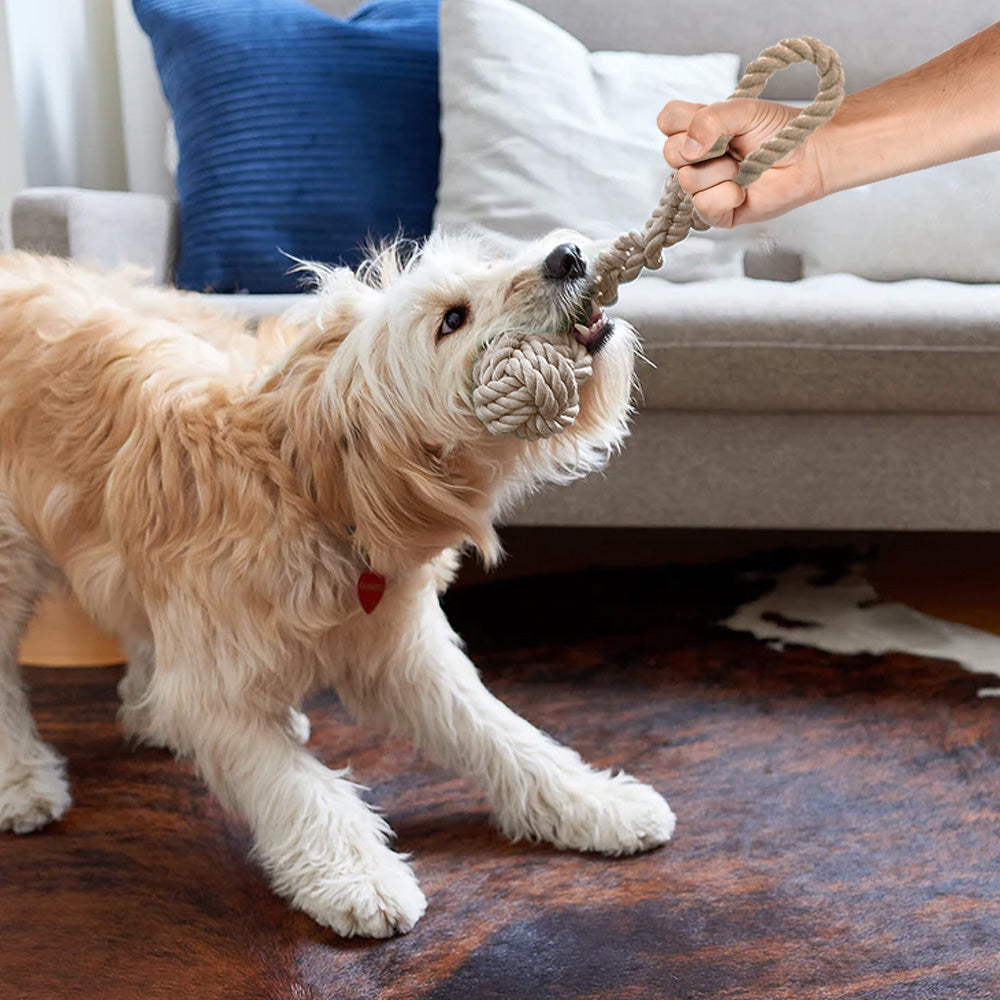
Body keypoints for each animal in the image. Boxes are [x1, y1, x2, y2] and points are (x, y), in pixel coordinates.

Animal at [0, 234, 680, 936]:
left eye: (487, 263)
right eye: (452, 319)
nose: (567, 254)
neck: (311, 484)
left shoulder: (404, 653)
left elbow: (504, 735)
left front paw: (595, 804)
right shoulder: (219, 691)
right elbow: (299, 790)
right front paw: (357, 876)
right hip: (10, 557)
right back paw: (22, 781)